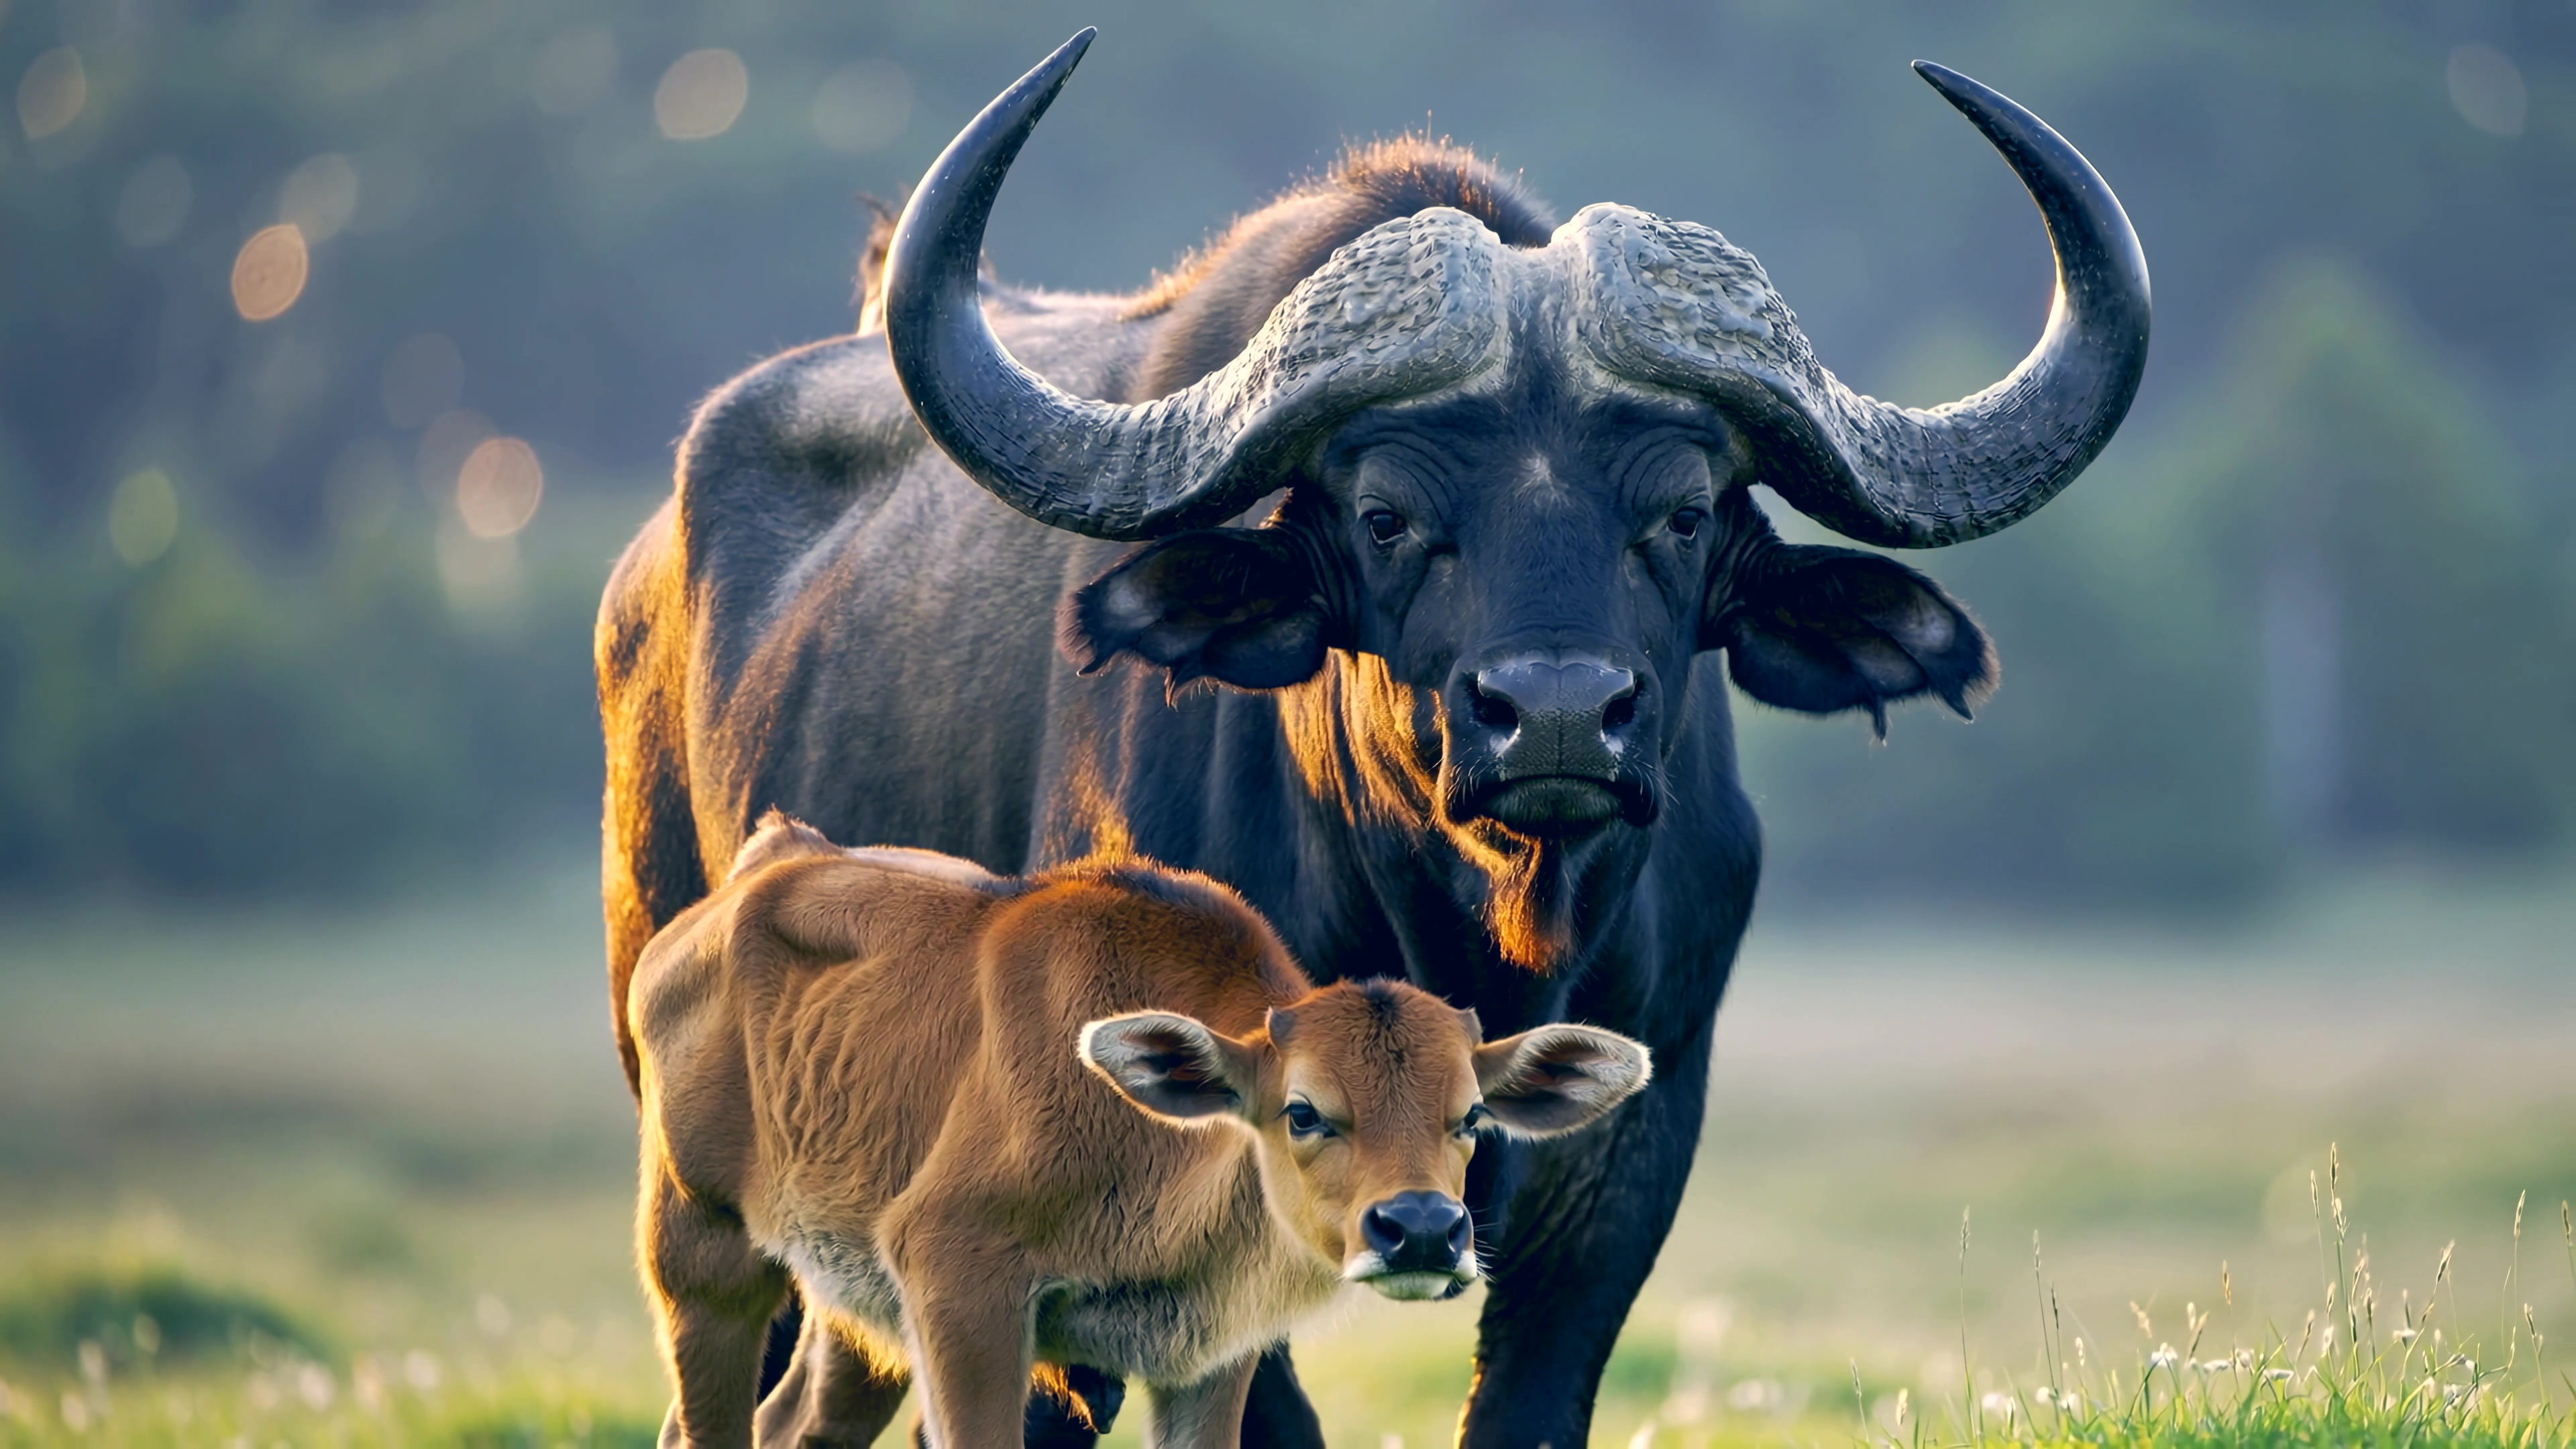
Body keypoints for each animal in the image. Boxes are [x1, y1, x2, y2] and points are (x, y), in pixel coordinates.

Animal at [631, 812, 1649, 1448]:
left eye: (1470, 1116)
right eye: (1304, 1111)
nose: (1425, 1231)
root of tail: (767, 863)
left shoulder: (1212, 1356)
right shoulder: (962, 1285)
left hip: (848, 1318)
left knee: (794, 1426)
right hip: (702, 1253)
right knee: (703, 1426)